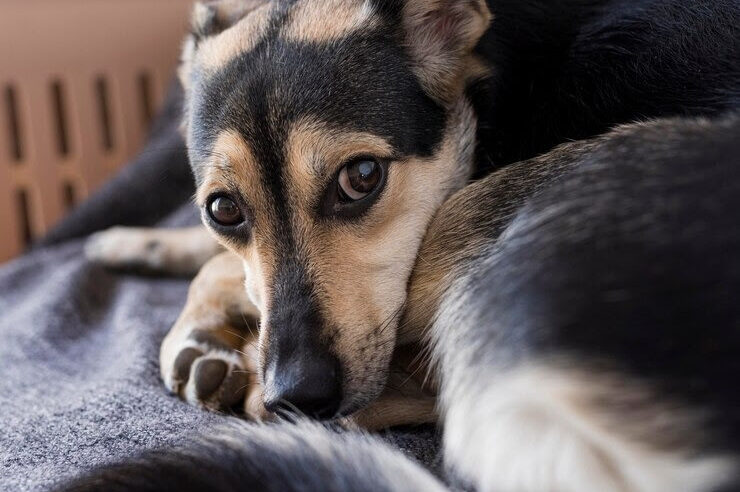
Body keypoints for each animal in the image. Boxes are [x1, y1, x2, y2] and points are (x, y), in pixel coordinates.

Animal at [81, 0, 740, 490]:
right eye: (223, 209)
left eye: (362, 177)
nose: (297, 395)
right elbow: (217, 254)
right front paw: (134, 244)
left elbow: (220, 267)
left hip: (506, 202)